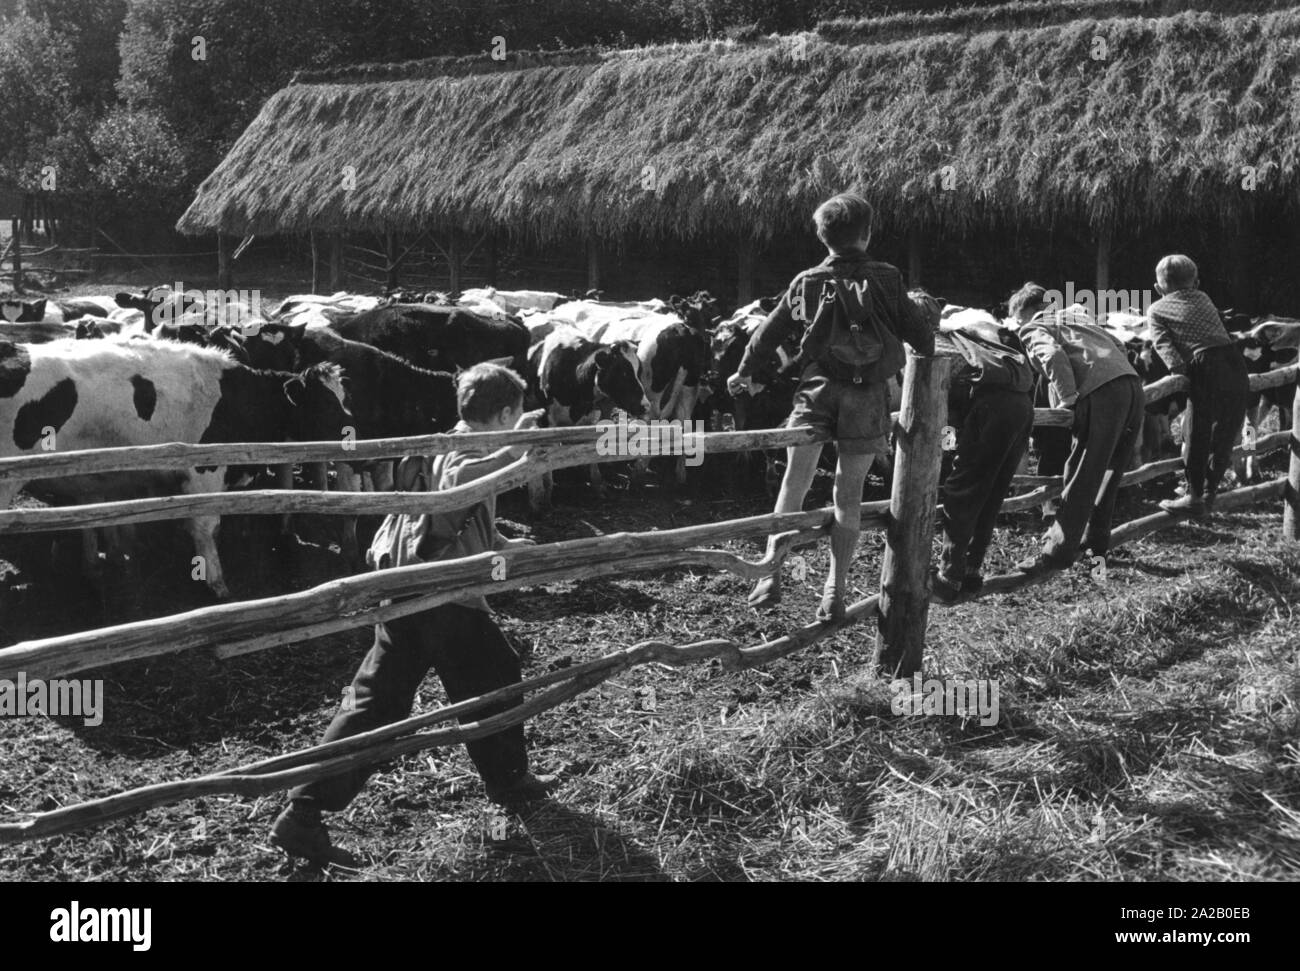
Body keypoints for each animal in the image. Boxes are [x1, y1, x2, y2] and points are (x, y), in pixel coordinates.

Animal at [0, 340, 353, 600]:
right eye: (325, 404)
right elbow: (206, 525)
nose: (356, 437)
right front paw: (216, 583)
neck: (234, 396)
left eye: (342, 397)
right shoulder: (204, 471)